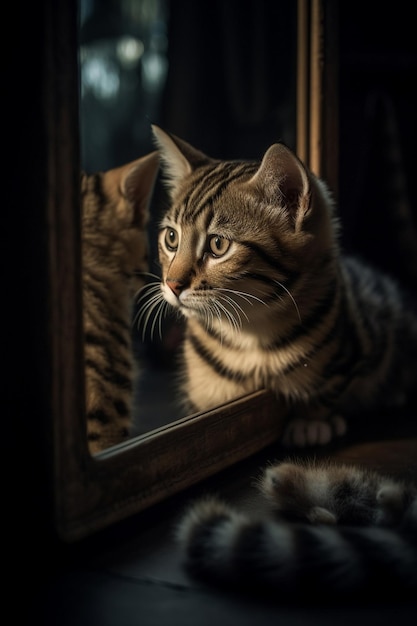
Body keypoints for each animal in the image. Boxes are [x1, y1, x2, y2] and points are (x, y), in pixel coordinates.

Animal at [145, 125, 414, 448]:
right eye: (171, 238)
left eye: (218, 245)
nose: (172, 284)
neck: (249, 332)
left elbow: (333, 382)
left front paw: (312, 421)